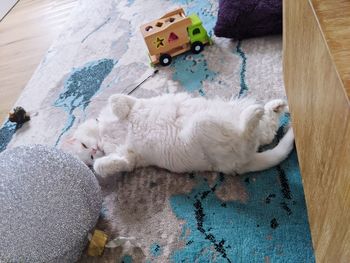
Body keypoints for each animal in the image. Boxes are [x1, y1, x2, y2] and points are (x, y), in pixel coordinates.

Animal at [64, 93, 294, 177]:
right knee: (257, 135)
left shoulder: (133, 101)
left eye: (85, 147)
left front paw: (118, 110)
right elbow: (105, 166)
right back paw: (263, 112)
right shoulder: (129, 159)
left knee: (263, 133)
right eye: (90, 155)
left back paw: (271, 108)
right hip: (205, 127)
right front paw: (102, 163)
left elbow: (116, 99)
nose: (96, 150)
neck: (105, 137)